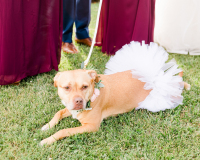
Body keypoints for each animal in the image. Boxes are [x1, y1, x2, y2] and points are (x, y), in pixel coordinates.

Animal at [39, 69, 189, 145]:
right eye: (66, 88)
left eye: (84, 87)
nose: (78, 101)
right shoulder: (73, 110)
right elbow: (58, 112)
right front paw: (47, 126)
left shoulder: (91, 126)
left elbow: (63, 131)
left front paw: (47, 140)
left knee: (176, 82)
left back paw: (185, 85)